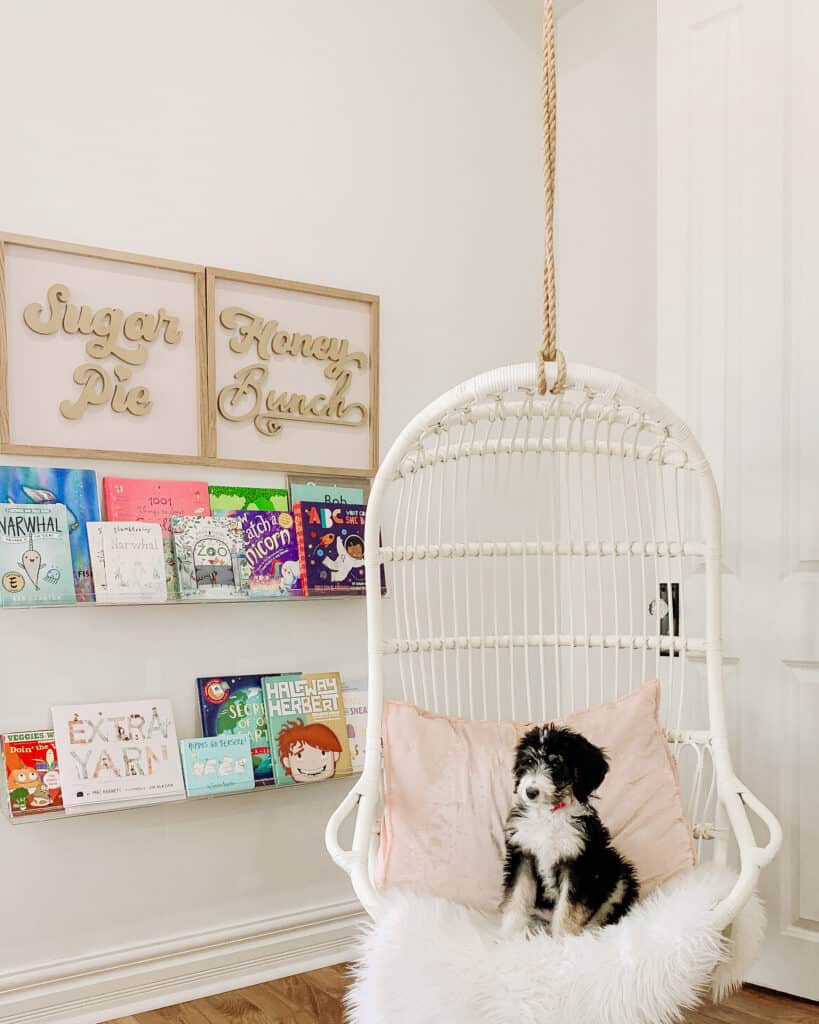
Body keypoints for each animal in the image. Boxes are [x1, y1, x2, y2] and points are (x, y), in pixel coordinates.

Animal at [499, 724, 638, 937]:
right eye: (528, 761)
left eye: (556, 764)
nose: (530, 792)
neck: (549, 813)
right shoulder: (522, 853)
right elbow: (516, 896)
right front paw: (507, 935)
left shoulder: (578, 864)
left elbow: (568, 907)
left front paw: (563, 940)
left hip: (620, 875)